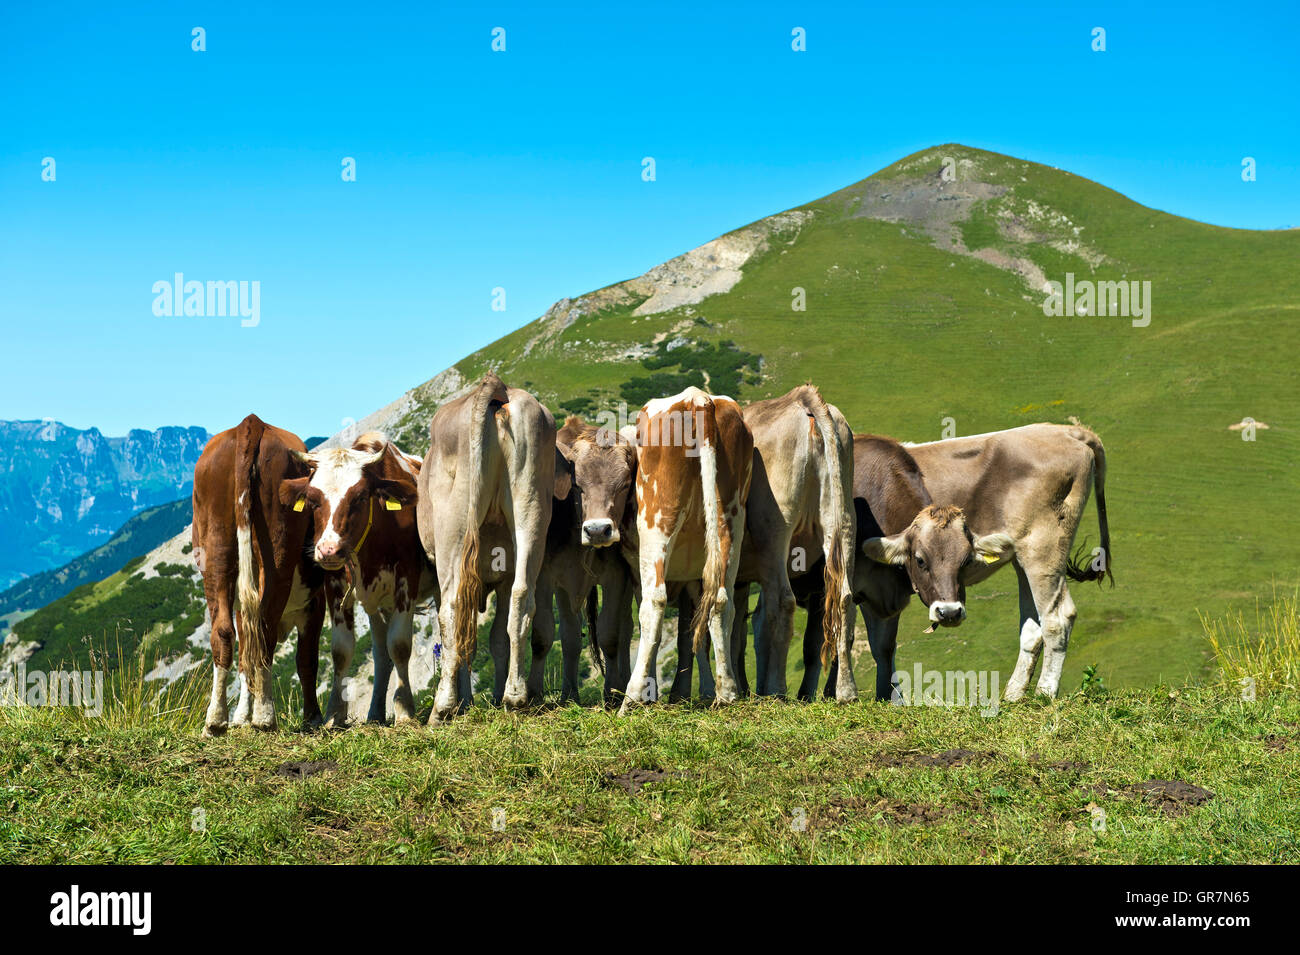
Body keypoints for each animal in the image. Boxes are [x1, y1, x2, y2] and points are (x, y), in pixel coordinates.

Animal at [191, 414, 326, 736]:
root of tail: (251, 423)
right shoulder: (317, 601)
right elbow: (307, 660)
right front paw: (313, 717)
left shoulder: (244, 604)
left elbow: (245, 658)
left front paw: (241, 717)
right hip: (277, 553)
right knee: (265, 629)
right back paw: (265, 716)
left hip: (216, 548)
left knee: (224, 632)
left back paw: (216, 720)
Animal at [277, 432, 433, 726]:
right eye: (313, 499)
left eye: (360, 497)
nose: (329, 550)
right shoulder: (337, 585)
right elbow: (342, 650)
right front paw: (334, 714)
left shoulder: (406, 580)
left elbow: (400, 645)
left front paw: (405, 710)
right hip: (377, 604)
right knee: (381, 654)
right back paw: (375, 714)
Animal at [417, 372, 558, 722]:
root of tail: (499, 388)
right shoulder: (503, 578)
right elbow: (495, 638)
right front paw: (489, 696)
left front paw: (463, 701)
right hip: (531, 503)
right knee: (523, 597)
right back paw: (515, 696)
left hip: (453, 527)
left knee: (452, 609)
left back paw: (441, 708)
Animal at [620, 386, 754, 712]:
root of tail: (698, 399)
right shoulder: (694, 577)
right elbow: (692, 631)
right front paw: (700, 690)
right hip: (730, 518)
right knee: (721, 601)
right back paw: (727, 692)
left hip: (657, 519)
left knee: (654, 603)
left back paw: (630, 698)